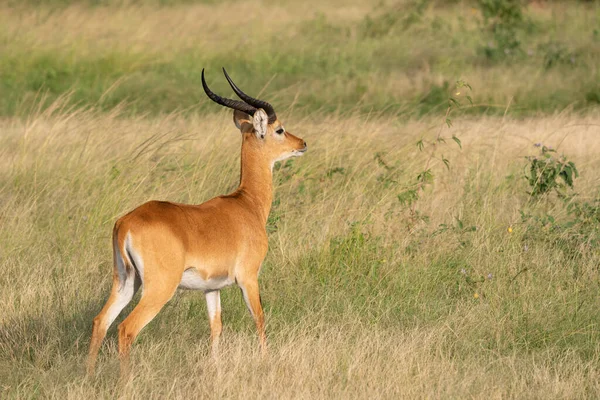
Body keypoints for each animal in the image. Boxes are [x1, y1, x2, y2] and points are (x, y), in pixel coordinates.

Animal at [86, 69, 308, 376]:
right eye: (279, 130)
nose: (302, 144)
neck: (246, 203)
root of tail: (126, 223)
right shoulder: (248, 278)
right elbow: (259, 318)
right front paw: (266, 362)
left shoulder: (212, 287)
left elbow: (216, 327)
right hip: (159, 287)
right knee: (126, 329)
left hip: (126, 280)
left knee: (100, 321)